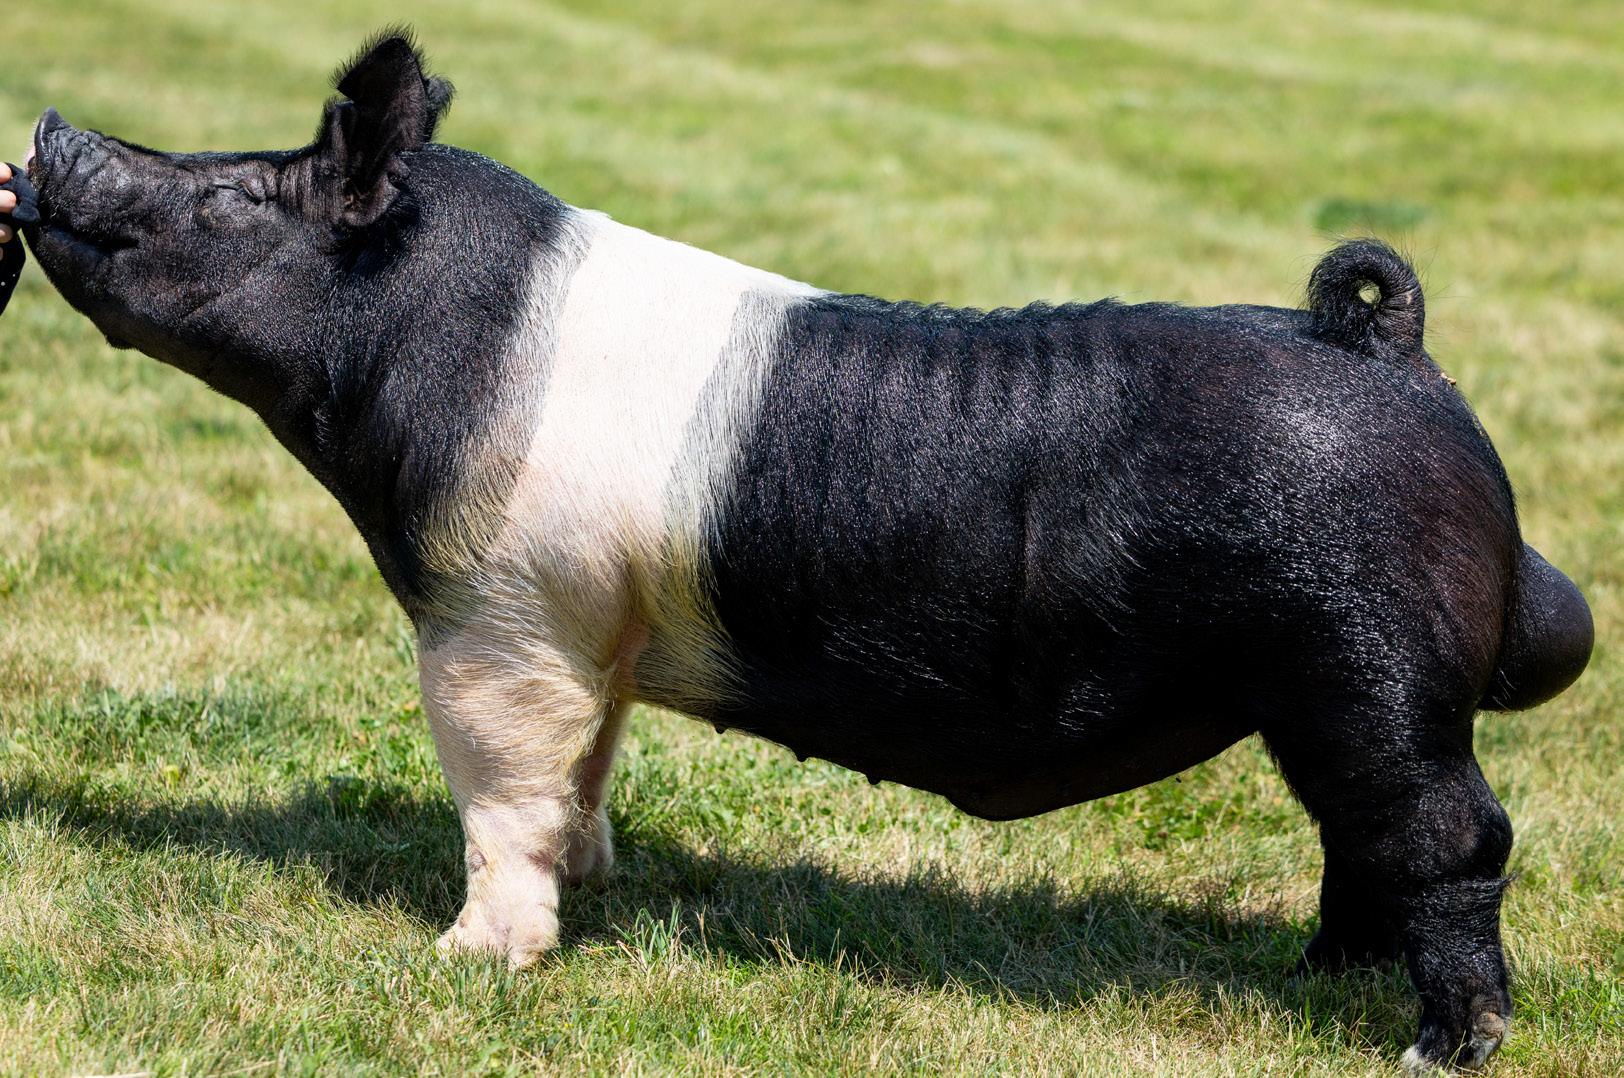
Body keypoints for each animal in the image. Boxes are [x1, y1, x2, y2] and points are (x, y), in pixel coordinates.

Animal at [20, 31, 1593, 1073]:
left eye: (239, 193)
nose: (45, 127)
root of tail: (1383, 342)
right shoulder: (594, 624)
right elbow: (587, 763)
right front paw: (599, 884)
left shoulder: (501, 606)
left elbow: (502, 785)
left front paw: (466, 962)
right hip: (1317, 689)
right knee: (1353, 839)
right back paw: (1313, 971)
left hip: (1372, 665)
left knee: (1450, 834)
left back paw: (1439, 1044)